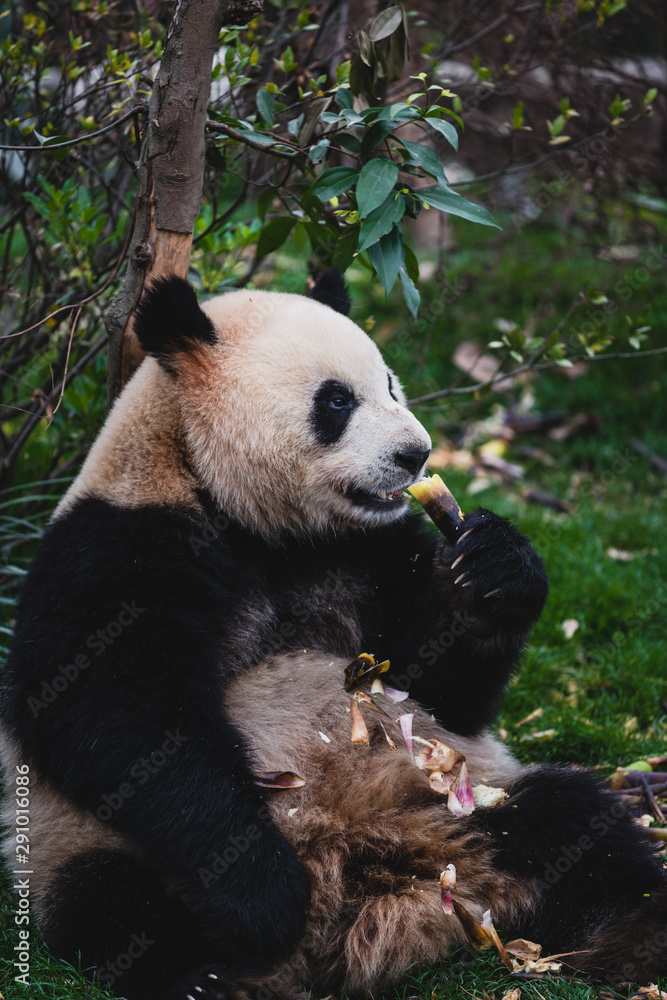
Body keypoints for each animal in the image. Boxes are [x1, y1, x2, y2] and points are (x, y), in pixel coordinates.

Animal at [1, 272, 666, 1000]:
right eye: (337, 400)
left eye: (391, 385)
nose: (415, 454)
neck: (251, 516)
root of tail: (372, 883)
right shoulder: (117, 546)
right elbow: (115, 715)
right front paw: (265, 893)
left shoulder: (370, 551)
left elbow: (442, 689)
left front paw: (495, 566)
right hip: (80, 844)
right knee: (117, 907)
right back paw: (217, 971)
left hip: (457, 801)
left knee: (572, 824)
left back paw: (637, 936)